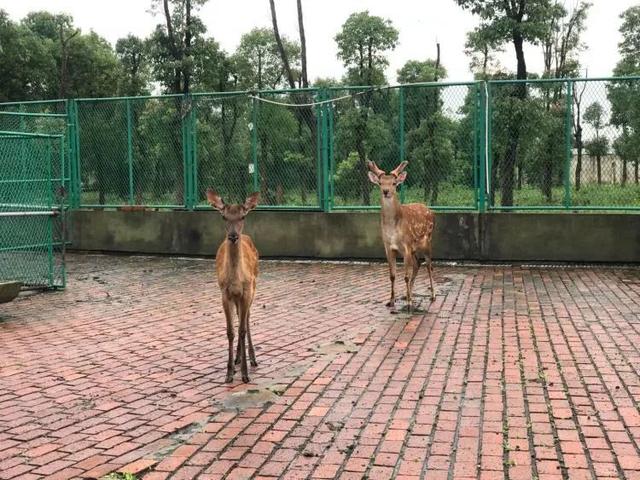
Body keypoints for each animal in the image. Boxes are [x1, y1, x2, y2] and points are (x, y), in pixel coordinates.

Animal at [209, 188, 262, 382]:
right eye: (224, 217)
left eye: (243, 216)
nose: (233, 236)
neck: (236, 280)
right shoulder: (225, 293)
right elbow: (231, 331)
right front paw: (229, 373)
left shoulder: (246, 291)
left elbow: (242, 330)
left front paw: (245, 375)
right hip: (237, 298)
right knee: (240, 317)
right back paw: (238, 358)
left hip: (254, 288)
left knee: (246, 319)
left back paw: (252, 359)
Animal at [370, 159, 436, 314]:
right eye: (380, 183)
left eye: (394, 183)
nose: (386, 191)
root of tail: (430, 211)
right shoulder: (389, 247)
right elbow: (392, 275)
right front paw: (391, 301)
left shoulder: (406, 246)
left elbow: (405, 276)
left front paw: (410, 304)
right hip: (414, 249)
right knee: (418, 264)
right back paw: (408, 294)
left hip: (427, 241)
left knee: (429, 265)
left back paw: (432, 295)